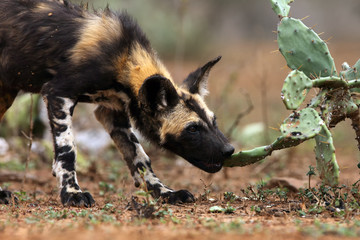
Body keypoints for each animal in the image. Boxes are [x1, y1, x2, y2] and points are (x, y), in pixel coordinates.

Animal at [0, 0, 233, 206]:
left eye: (214, 121)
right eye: (192, 129)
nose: (229, 150)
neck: (124, 60)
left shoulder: (112, 112)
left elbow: (140, 158)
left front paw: (165, 193)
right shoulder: (58, 94)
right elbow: (68, 152)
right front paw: (72, 194)